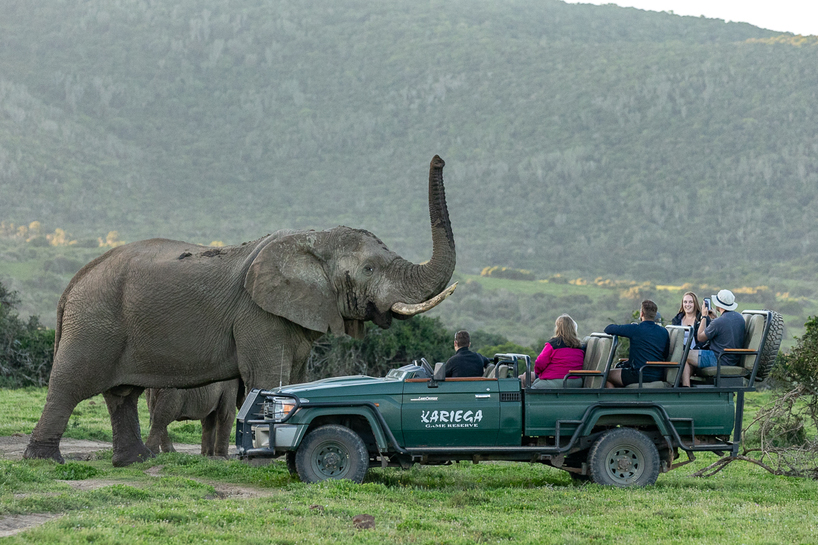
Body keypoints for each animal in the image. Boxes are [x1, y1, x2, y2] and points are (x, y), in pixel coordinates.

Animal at [23, 155, 452, 466]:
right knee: (71, 385)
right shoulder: (258, 316)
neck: (314, 238)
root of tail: (72, 284)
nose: (439, 159)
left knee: (122, 394)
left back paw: (135, 462)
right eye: (370, 269)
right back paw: (46, 462)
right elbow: (269, 376)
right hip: (94, 321)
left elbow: (297, 379)